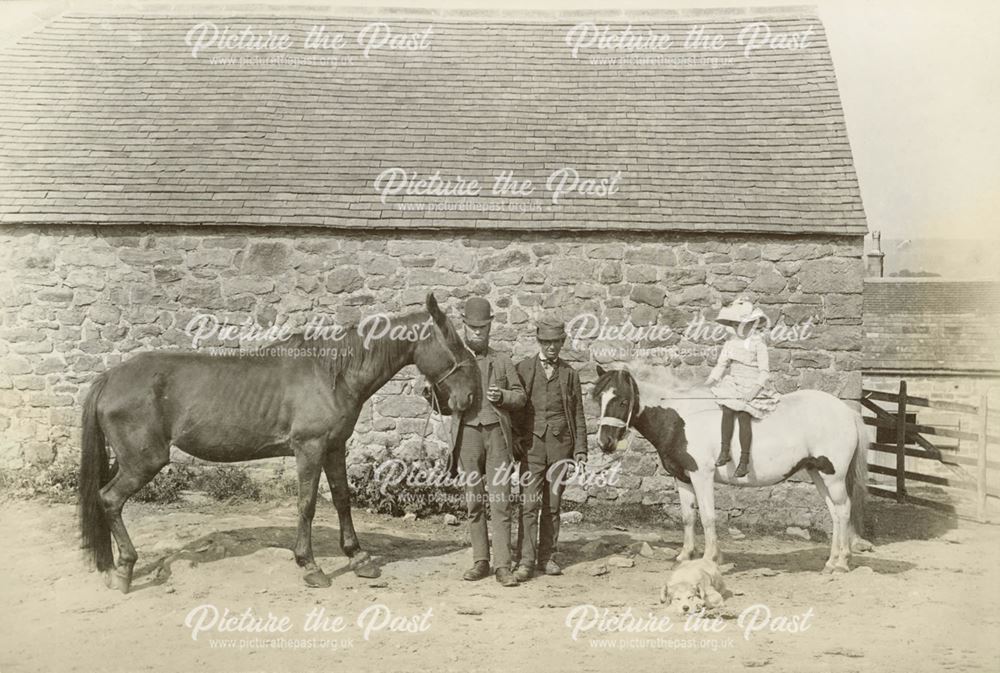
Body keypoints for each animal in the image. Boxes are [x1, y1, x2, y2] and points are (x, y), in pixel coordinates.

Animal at [80, 292, 478, 592]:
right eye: (453, 342)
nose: (469, 397)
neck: (332, 374)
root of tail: (110, 377)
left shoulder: (334, 447)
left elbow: (342, 499)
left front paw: (358, 557)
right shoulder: (309, 449)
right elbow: (307, 505)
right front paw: (310, 566)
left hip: (126, 460)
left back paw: (113, 566)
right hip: (144, 461)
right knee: (109, 499)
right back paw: (125, 569)